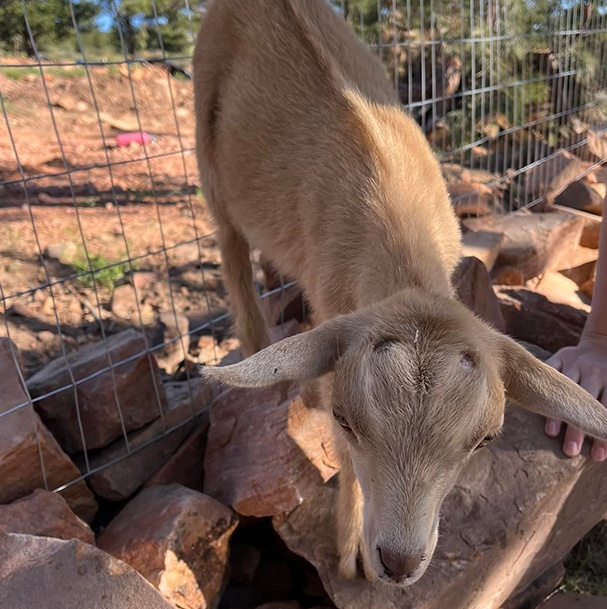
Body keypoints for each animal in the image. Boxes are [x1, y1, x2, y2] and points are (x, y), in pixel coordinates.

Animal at [194, 0, 607, 588]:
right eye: (346, 420)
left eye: (485, 440)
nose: (399, 563)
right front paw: (351, 553)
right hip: (206, 133)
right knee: (229, 242)